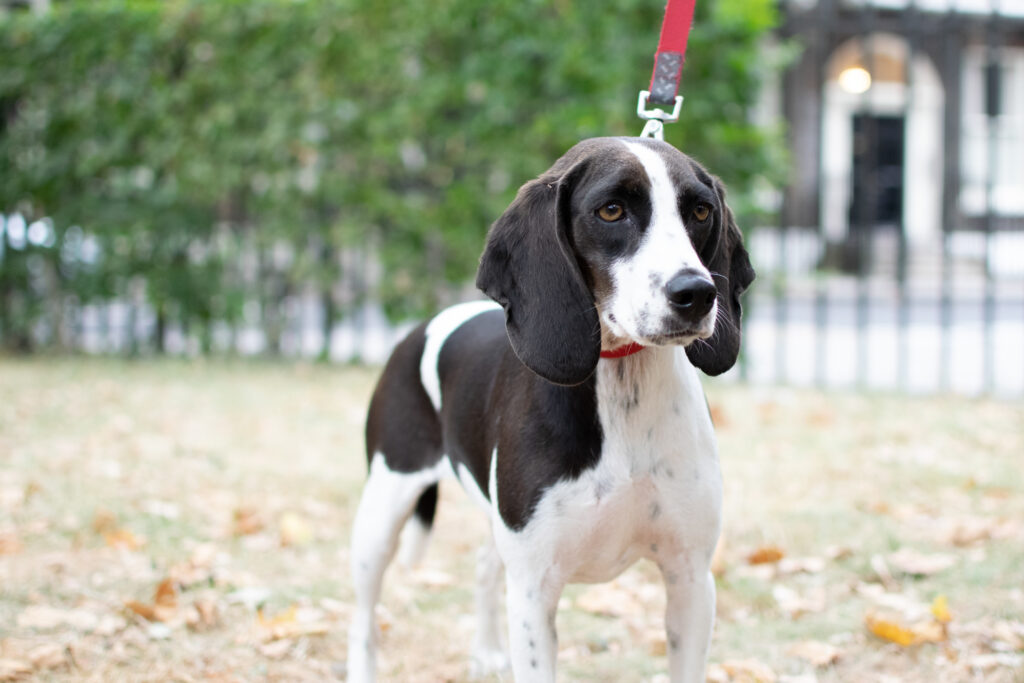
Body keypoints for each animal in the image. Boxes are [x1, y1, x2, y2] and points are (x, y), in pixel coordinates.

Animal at [348, 137, 757, 683]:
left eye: (700, 211)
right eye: (611, 210)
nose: (696, 292)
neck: (620, 388)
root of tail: (419, 330)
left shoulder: (690, 578)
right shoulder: (533, 593)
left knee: (484, 567)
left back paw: (486, 653)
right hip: (382, 512)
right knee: (363, 614)